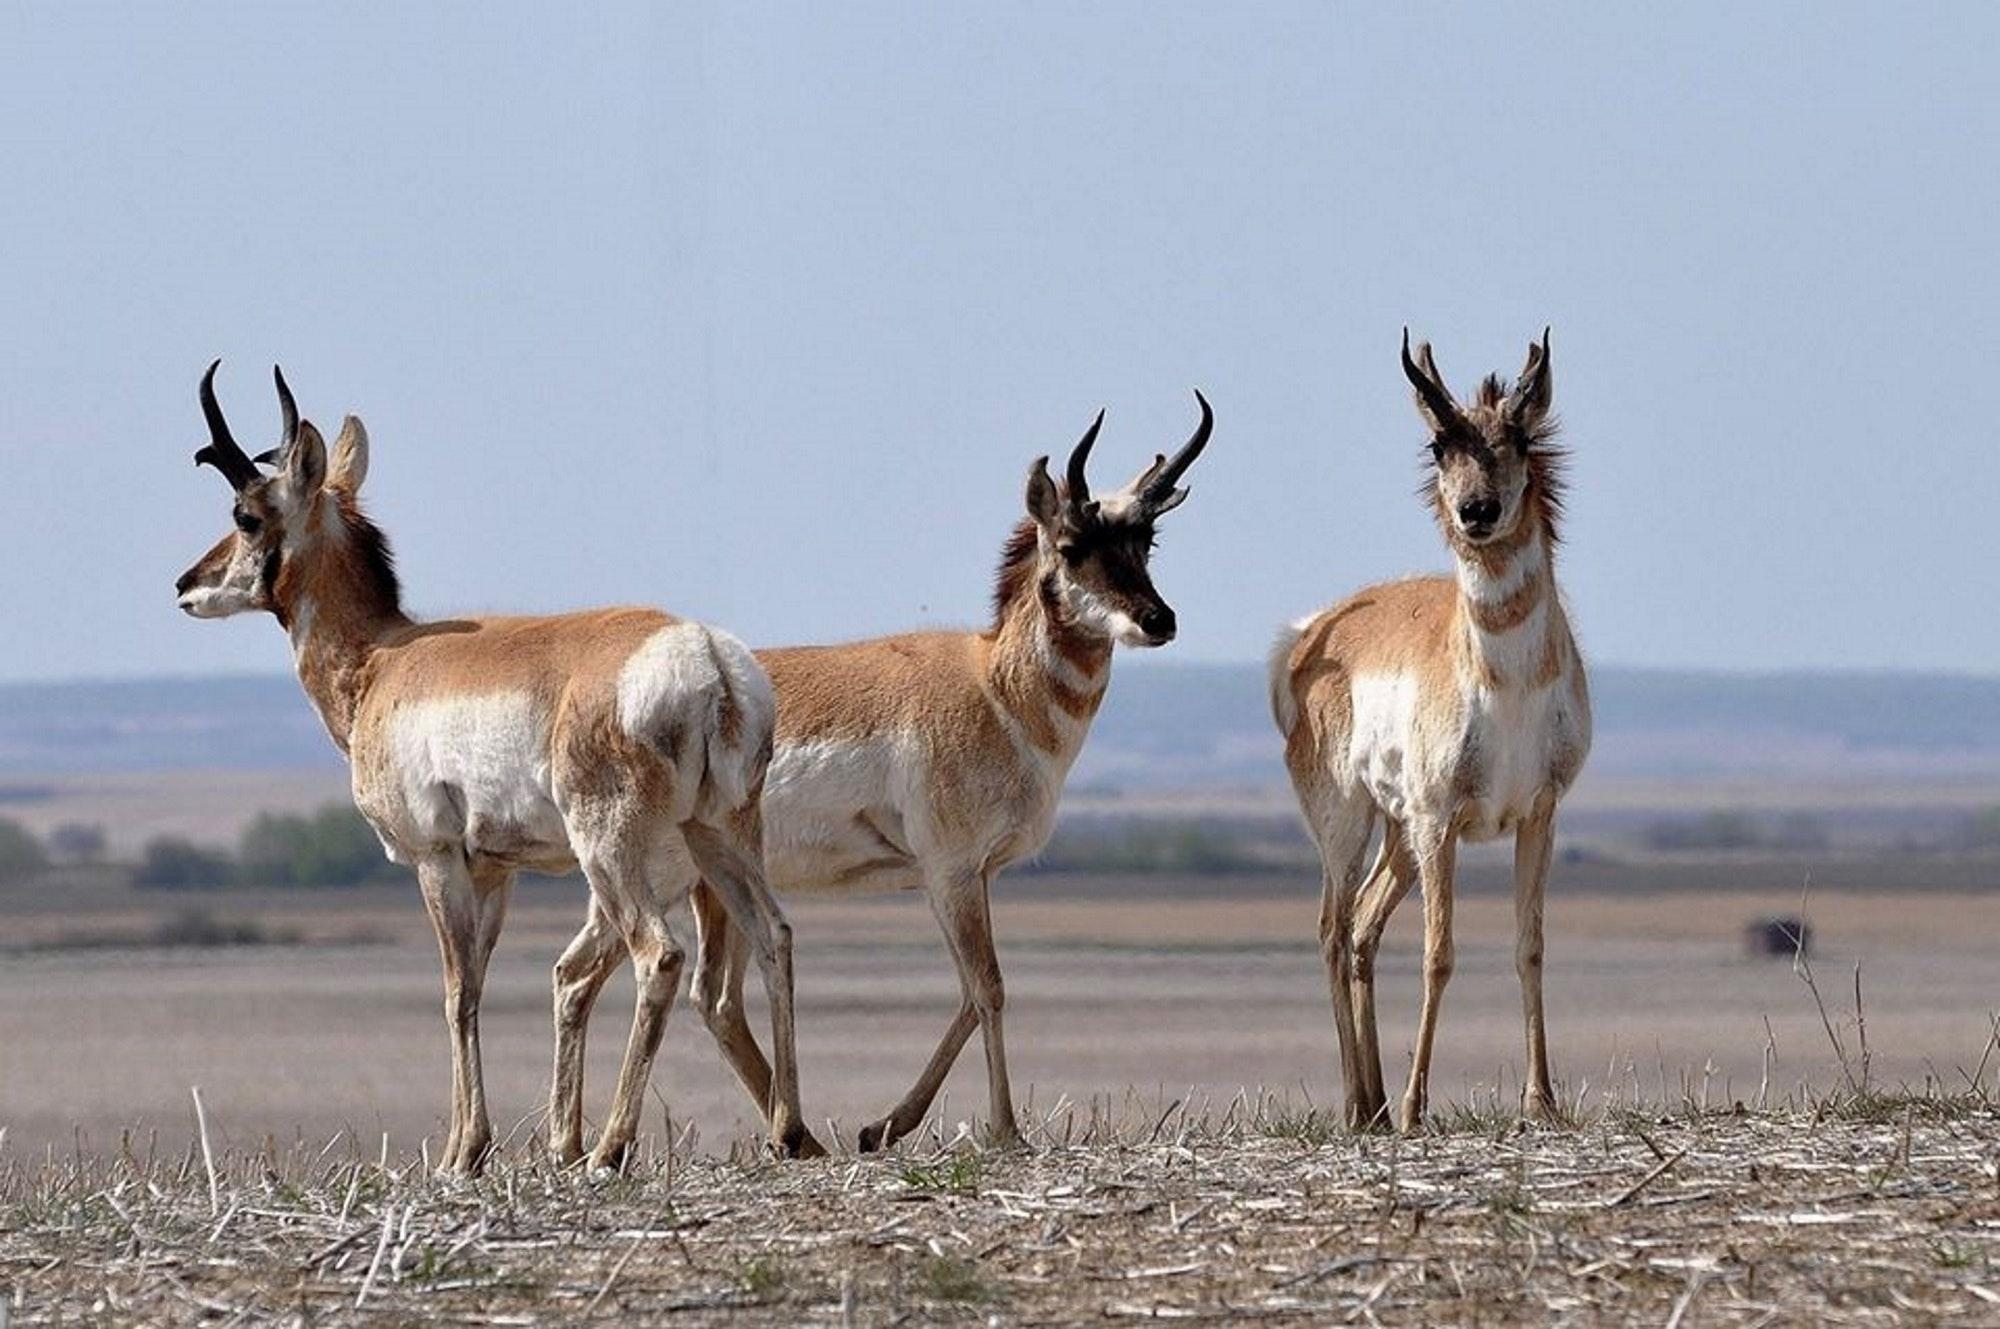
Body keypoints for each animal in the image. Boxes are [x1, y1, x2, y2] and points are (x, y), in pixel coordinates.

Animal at [176, 364, 816, 1176]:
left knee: (660, 955)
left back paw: (609, 1146)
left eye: (248, 514)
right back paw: (786, 1130)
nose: (184, 584)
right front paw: (471, 1146)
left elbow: (456, 992)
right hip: (720, 836)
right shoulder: (495, 872)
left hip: (611, 852)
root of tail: (704, 654)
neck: (384, 657)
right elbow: (477, 983)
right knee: (775, 934)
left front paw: (462, 1153)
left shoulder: (437, 859)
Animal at [552, 394, 1216, 1152]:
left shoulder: (965, 876)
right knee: (610, 976)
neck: (992, 685)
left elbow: (968, 993)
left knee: (685, 993)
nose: (1159, 619)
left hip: (705, 885)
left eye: (1146, 543)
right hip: (658, 878)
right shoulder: (952, 871)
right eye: (1073, 546)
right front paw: (1005, 1129)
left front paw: (882, 1126)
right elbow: (989, 986)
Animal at [1272, 332, 1584, 1128]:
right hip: (1350, 824)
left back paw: (1377, 1101)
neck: (1507, 685)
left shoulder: (1538, 813)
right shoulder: (1442, 818)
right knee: (1332, 930)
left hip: (1398, 833)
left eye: (1518, 437)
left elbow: (1530, 946)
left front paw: (1542, 1099)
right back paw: (1363, 1103)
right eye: (1441, 444)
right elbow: (1438, 953)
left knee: (1361, 928)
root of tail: (1310, 632)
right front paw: (1419, 1104)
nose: (1477, 510)